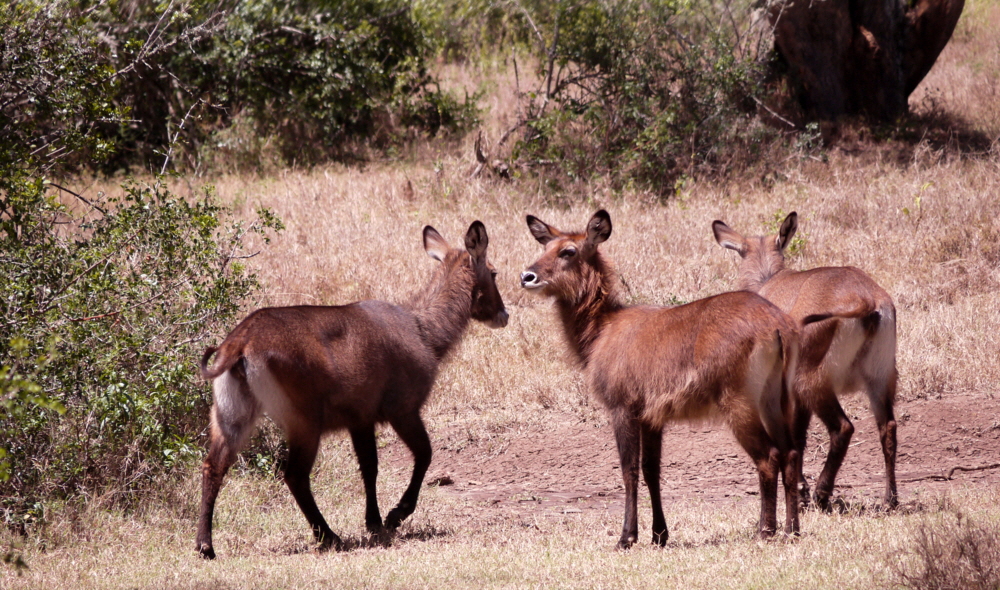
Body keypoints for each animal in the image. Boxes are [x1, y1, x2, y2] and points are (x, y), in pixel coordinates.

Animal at [195, 221, 508, 560]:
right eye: (493, 272)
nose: (504, 315)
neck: (422, 330)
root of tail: (240, 342)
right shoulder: (403, 409)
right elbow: (424, 453)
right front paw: (394, 515)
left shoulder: (360, 419)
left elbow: (369, 467)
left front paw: (374, 522)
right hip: (304, 422)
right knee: (295, 475)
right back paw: (329, 536)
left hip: (231, 415)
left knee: (213, 466)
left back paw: (205, 546)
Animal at [520, 210, 800, 548]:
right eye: (544, 247)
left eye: (568, 251)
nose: (527, 276)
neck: (602, 330)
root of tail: (777, 324)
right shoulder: (652, 417)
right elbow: (651, 470)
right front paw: (659, 535)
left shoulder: (622, 408)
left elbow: (628, 470)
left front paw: (626, 538)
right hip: (778, 401)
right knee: (791, 454)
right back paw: (792, 530)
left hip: (740, 403)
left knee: (768, 457)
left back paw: (765, 530)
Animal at [712, 214, 900, 512]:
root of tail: (866, 299)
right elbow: (799, 435)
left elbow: (791, 435)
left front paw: (800, 490)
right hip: (880, 377)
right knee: (888, 427)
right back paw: (889, 499)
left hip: (811, 381)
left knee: (843, 427)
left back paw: (822, 494)